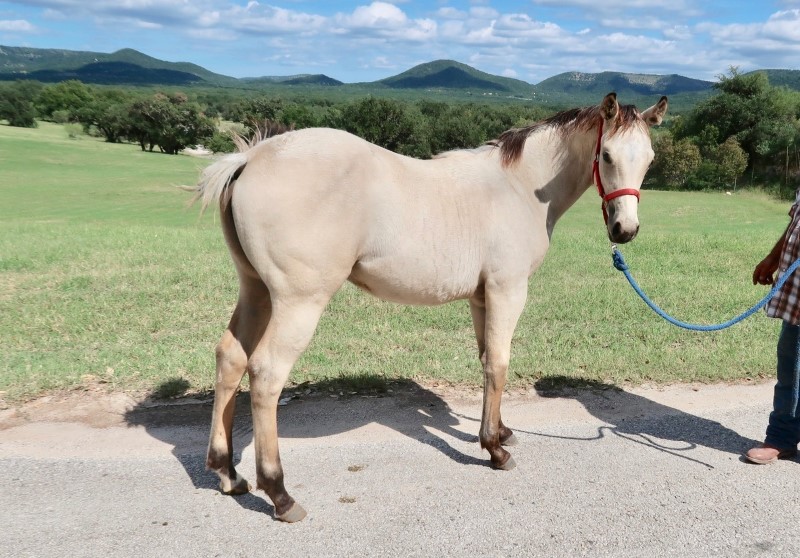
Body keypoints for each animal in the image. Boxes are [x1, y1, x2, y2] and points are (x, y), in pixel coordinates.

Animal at [192, 93, 668, 524]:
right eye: (606, 154)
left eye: (649, 158)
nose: (624, 230)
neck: (519, 187)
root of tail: (252, 158)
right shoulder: (507, 291)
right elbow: (499, 363)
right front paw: (494, 449)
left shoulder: (481, 297)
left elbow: (486, 361)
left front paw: (501, 432)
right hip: (298, 303)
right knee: (266, 374)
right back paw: (280, 494)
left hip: (255, 291)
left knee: (230, 358)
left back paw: (228, 472)